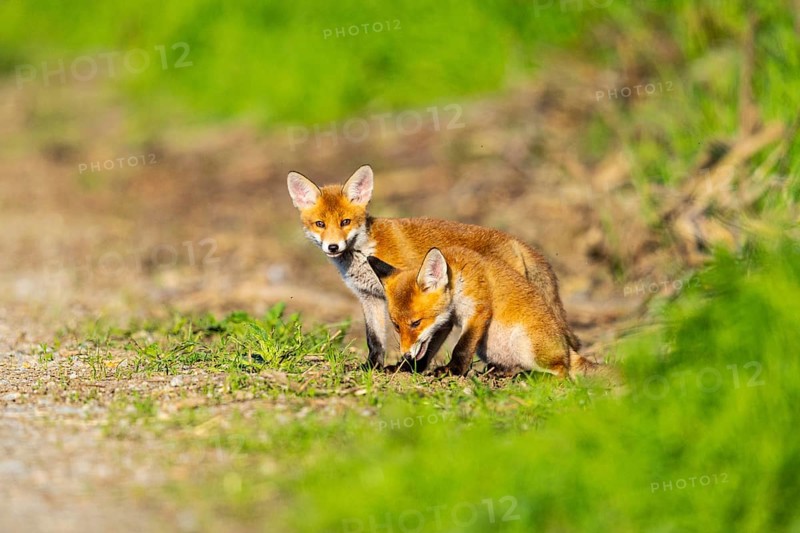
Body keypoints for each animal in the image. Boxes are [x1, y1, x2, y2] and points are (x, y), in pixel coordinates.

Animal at [286, 164, 580, 369]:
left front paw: (409, 367)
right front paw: (372, 367)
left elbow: (424, 337)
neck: (364, 252)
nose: (333, 247)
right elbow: (375, 340)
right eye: (320, 224)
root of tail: (517, 241)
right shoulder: (370, 298)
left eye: (345, 222)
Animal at [367, 247, 600, 378]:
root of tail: (567, 349)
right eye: (396, 326)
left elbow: (461, 348)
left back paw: (529, 377)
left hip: (525, 342)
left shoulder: (478, 311)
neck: (458, 280)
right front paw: (407, 368)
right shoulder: (446, 321)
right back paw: (502, 373)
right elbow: (430, 348)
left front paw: (452, 370)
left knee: (562, 371)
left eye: (416, 323)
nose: (406, 354)